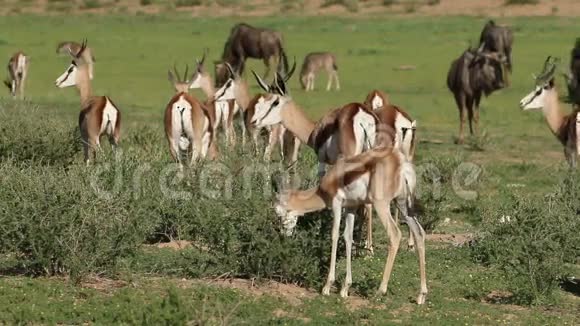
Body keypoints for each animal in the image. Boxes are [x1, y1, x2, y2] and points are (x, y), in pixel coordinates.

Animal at [276, 145, 426, 304]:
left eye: (279, 214)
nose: (283, 236)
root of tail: (401, 163)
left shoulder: (336, 204)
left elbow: (335, 235)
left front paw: (327, 286)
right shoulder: (351, 207)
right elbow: (348, 237)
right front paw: (345, 288)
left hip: (382, 205)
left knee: (395, 234)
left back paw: (380, 291)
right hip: (403, 205)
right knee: (419, 233)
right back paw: (421, 295)